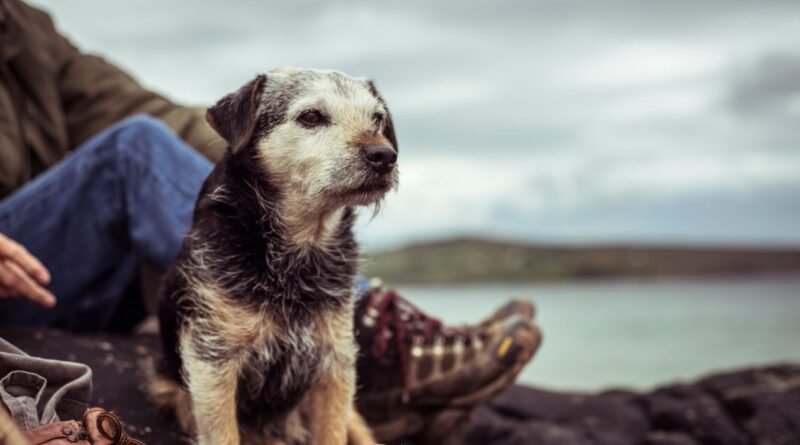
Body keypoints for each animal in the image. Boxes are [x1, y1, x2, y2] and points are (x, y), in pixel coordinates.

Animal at [148, 67, 398, 444]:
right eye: (311, 116)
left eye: (378, 118)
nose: (384, 155)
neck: (298, 253)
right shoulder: (212, 359)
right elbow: (223, 432)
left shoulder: (336, 360)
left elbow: (333, 431)